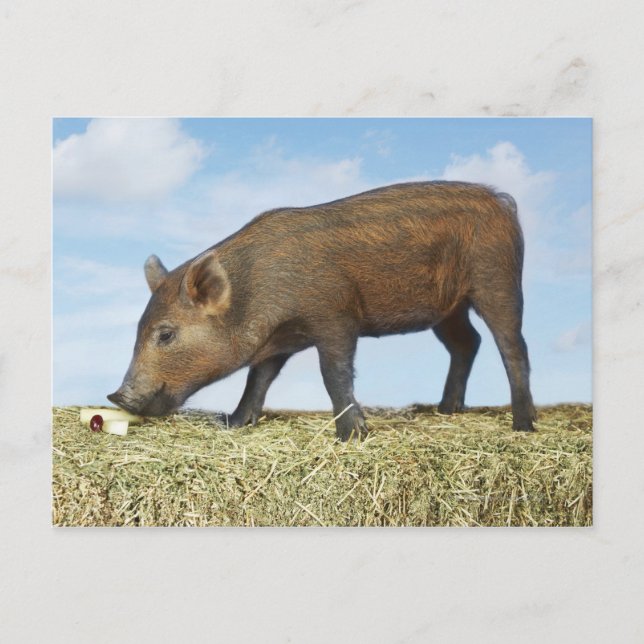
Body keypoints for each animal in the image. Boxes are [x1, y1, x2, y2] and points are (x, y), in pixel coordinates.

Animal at [108, 181, 536, 440]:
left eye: (166, 334)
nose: (116, 396)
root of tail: (502, 201)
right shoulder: (280, 341)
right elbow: (258, 379)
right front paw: (233, 423)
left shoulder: (335, 316)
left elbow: (334, 373)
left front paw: (352, 435)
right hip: (449, 309)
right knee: (467, 343)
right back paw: (444, 411)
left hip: (497, 279)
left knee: (513, 347)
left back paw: (523, 426)